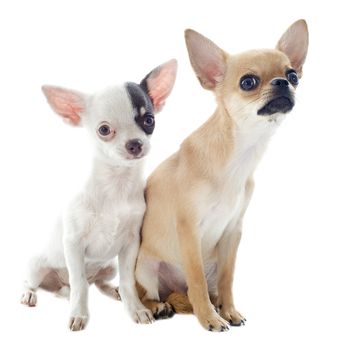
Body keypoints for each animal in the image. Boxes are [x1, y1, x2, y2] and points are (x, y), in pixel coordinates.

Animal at [20, 58, 178, 330]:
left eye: (148, 120)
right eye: (104, 130)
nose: (135, 144)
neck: (116, 184)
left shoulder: (130, 245)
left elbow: (127, 282)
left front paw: (136, 309)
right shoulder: (73, 244)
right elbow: (80, 285)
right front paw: (79, 314)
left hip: (108, 267)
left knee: (97, 283)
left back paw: (112, 291)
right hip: (36, 266)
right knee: (45, 283)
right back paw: (30, 294)